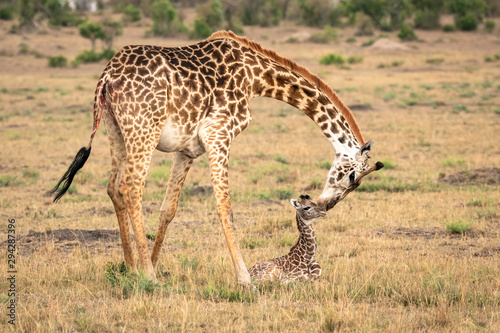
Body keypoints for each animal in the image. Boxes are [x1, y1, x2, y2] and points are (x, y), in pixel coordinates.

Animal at [52, 31, 382, 284]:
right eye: (352, 176)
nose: (326, 205)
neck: (255, 77)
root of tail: (107, 76)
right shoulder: (219, 134)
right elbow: (226, 208)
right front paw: (245, 279)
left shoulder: (188, 149)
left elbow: (168, 210)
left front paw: (155, 263)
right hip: (144, 128)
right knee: (131, 187)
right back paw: (147, 276)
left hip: (115, 130)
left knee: (113, 188)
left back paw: (132, 269)